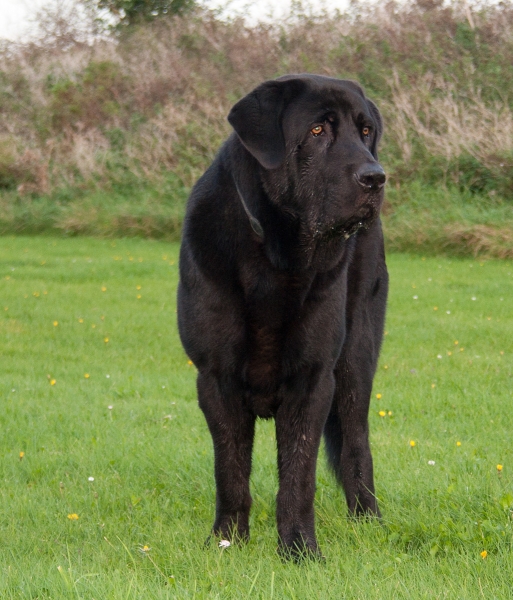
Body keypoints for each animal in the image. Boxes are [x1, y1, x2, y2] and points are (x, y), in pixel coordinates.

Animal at [178, 74, 386, 556]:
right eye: (317, 130)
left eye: (365, 130)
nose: (375, 177)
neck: (275, 261)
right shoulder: (215, 378)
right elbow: (230, 471)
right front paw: (227, 542)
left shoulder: (313, 378)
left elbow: (298, 476)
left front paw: (300, 551)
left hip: (356, 360)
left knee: (356, 445)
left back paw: (369, 521)